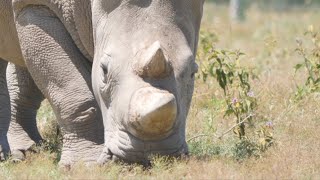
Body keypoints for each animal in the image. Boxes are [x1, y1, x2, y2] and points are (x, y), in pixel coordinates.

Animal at [0, 0, 205, 166]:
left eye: (193, 73)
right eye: (104, 71)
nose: (150, 152)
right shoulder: (35, 5)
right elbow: (72, 91)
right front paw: (84, 165)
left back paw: (27, 151)